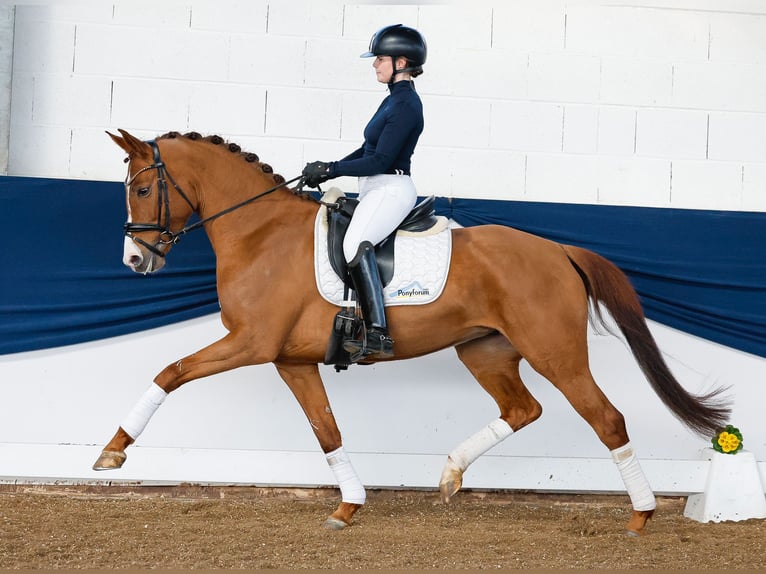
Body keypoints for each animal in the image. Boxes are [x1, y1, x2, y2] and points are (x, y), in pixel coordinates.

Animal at [94, 129, 732, 536]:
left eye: (143, 189)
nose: (134, 260)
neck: (260, 234)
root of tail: (558, 250)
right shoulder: (289, 359)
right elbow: (326, 431)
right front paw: (348, 507)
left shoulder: (250, 344)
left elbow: (170, 372)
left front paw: (112, 452)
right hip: (485, 351)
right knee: (523, 409)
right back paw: (449, 474)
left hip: (557, 354)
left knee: (607, 419)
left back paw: (641, 515)